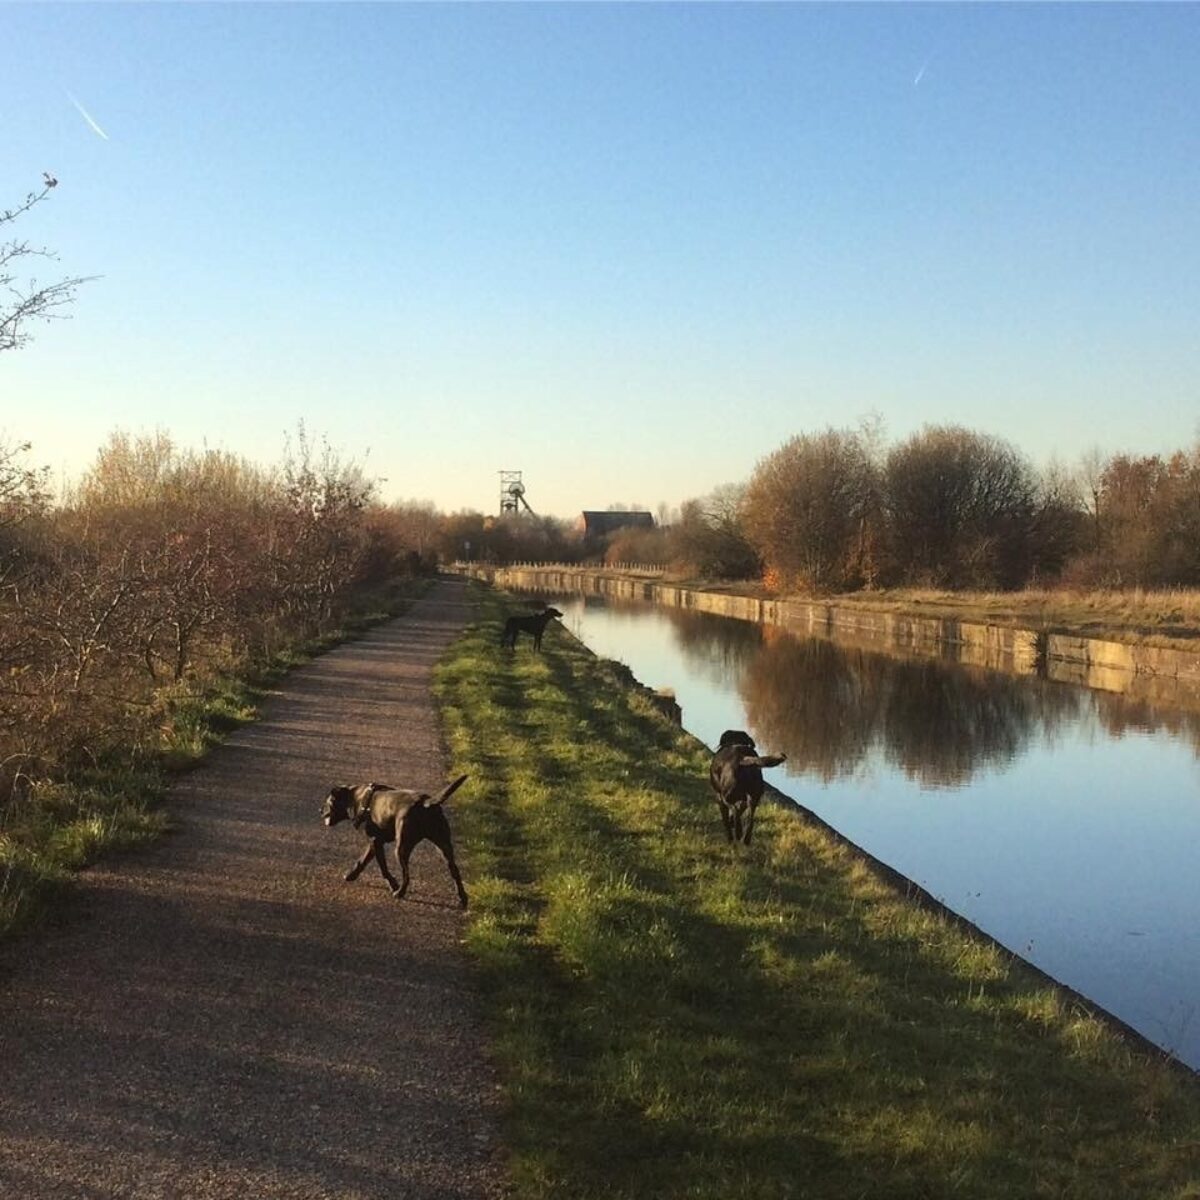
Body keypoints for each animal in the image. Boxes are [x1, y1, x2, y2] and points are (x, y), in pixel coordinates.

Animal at [321, 772, 470, 902]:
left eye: (328, 802)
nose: (319, 810)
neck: (355, 797)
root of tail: (426, 802)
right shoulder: (375, 841)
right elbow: (362, 861)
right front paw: (351, 875)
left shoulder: (375, 841)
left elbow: (383, 869)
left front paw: (393, 885)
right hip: (444, 846)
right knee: (455, 871)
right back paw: (462, 898)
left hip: (401, 848)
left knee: (407, 875)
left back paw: (400, 892)